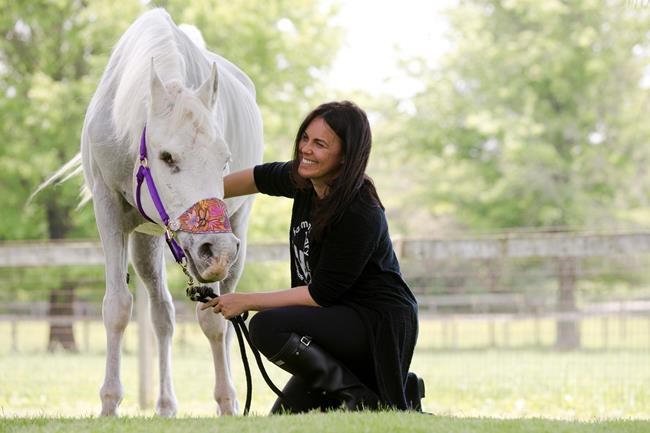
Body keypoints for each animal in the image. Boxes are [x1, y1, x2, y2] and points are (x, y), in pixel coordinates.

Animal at [42, 8, 263, 416]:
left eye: (224, 160)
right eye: (167, 156)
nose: (217, 250)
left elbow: (214, 320)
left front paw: (226, 402)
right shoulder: (109, 213)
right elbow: (117, 307)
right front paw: (109, 404)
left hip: (235, 233)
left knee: (226, 321)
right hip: (148, 245)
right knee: (163, 314)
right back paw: (164, 404)